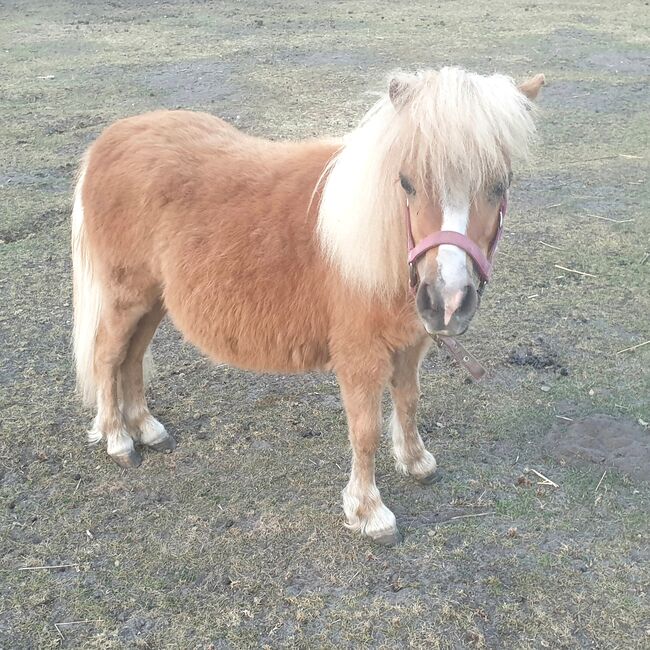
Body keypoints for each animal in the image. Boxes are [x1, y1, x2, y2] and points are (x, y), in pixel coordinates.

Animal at [72, 67, 540, 540]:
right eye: (407, 182)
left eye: (500, 184)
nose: (446, 300)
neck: (377, 243)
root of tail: (110, 139)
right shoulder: (360, 357)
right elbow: (365, 430)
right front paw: (369, 512)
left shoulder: (410, 345)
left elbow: (409, 400)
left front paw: (415, 462)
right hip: (126, 298)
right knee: (108, 356)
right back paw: (118, 439)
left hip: (153, 301)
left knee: (132, 357)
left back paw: (147, 429)